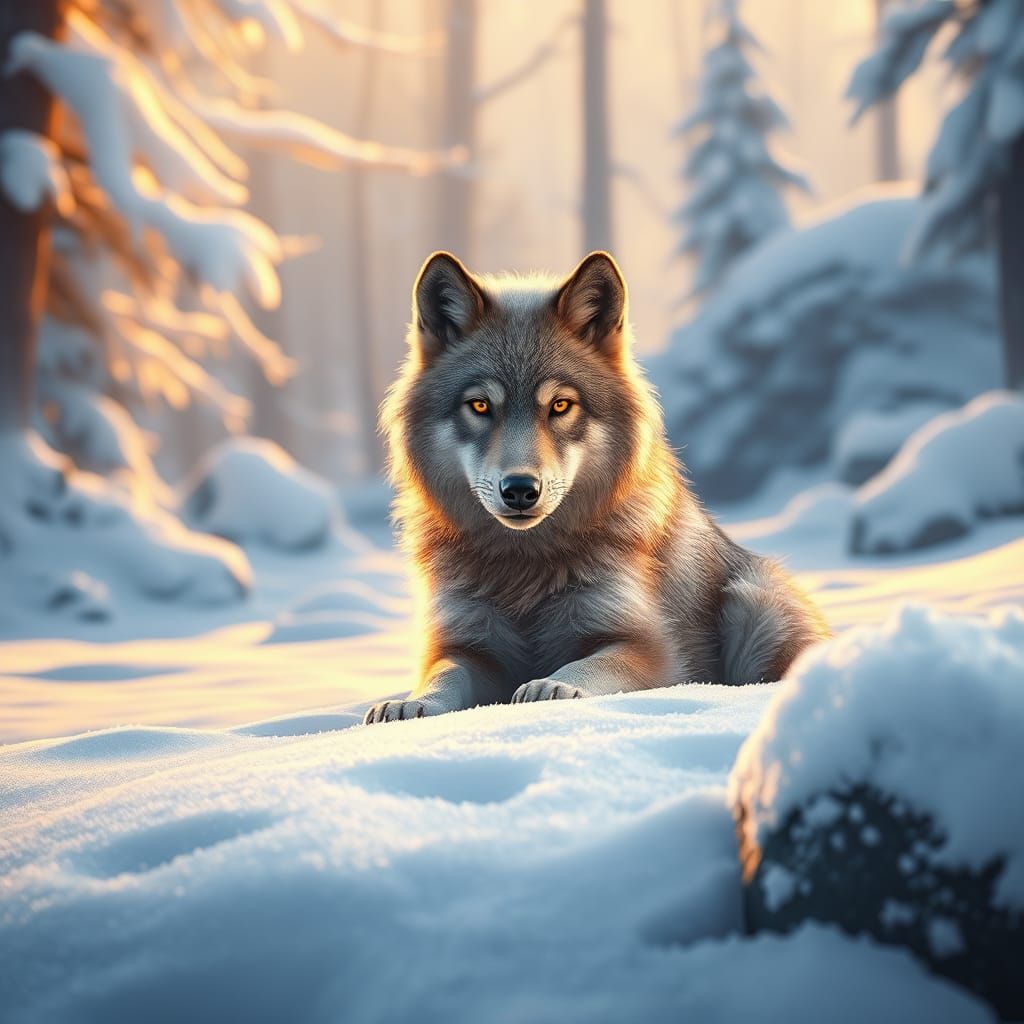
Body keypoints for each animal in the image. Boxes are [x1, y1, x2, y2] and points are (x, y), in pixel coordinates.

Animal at [364, 251, 828, 724]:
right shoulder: (466, 646)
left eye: (560, 405)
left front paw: (552, 686)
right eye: (479, 405)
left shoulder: (646, 646)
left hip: (753, 605)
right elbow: (444, 675)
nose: (520, 489)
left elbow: (588, 664)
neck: (524, 566)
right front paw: (410, 704)